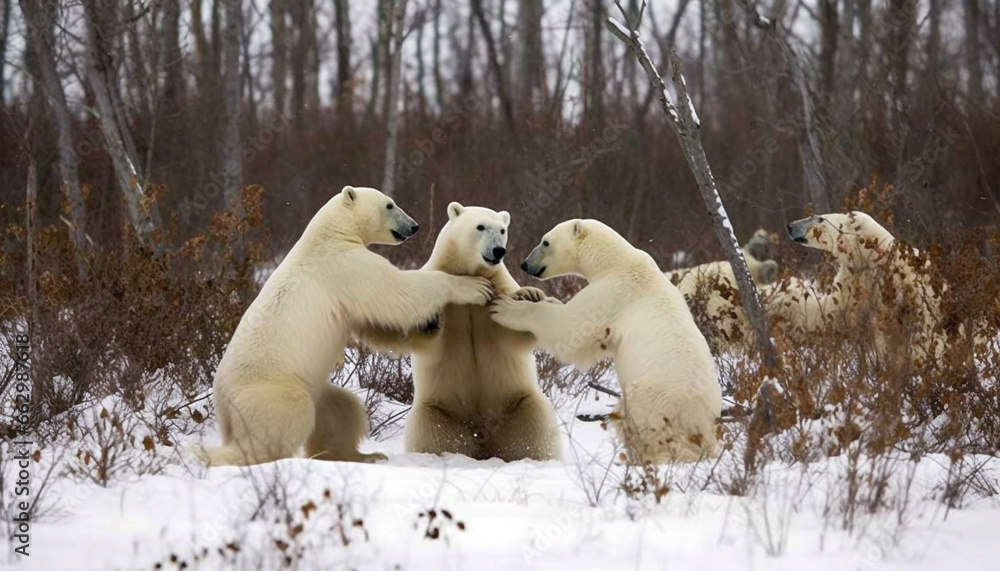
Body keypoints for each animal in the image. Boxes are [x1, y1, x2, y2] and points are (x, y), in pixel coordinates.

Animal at [200, 188, 492, 470]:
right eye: (389, 204)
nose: (414, 226)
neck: (330, 235)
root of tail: (222, 406)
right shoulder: (346, 268)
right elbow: (395, 292)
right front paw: (474, 287)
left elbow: (375, 324)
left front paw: (431, 328)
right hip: (271, 390)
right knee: (280, 422)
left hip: (317, 389)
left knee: (342, 410)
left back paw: (364, 455)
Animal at [360, 203, 564, 462]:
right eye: (480, 226)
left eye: (502, 229)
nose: (498, 251)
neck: (469, 270)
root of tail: (483, 438)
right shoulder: (448, 302)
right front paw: (429, 319)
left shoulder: (498, 292)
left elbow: (513, 337)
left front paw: (530, 295)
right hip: (439, 415)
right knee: (431, 436)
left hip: (519, 406)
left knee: (535, 431)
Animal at [490, 219, 720, 464]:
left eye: (546, 242)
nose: (525, 264)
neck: (616, 262)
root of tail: (701, 419)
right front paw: (547, 299)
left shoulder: (612, 294)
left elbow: (571, 329)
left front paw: (506, 308)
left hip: (656, 399)